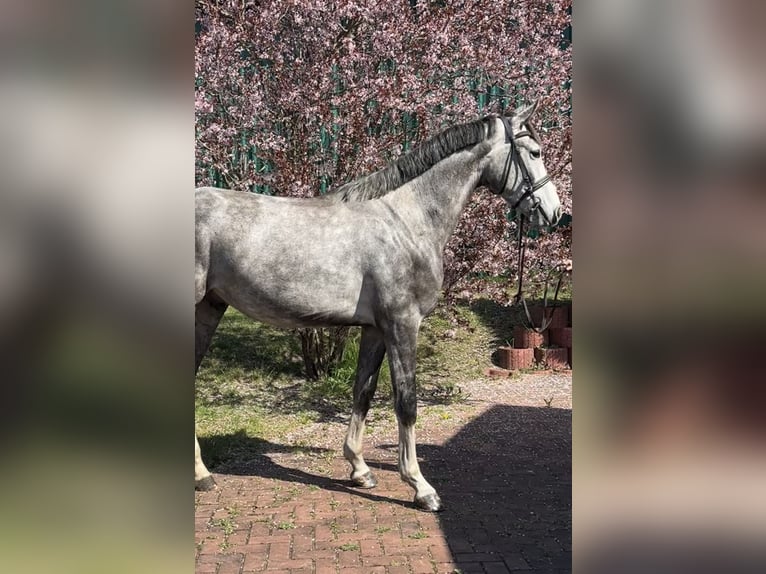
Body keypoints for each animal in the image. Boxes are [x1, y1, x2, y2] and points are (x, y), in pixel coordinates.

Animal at [195, 101, 563, 511]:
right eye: (535, 153)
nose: (555, 213)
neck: (407, 220)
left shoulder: (374, 329)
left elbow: (363, 392)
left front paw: (360, 469)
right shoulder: (402, 324)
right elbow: (407, 401)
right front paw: (420, 486)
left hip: (209, 308)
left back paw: (202, 476)